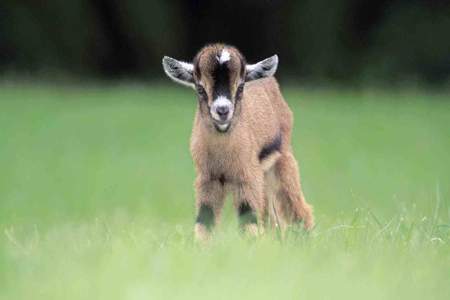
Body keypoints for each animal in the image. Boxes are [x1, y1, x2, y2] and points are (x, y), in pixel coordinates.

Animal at [162, 44, 312, 239]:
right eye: (200, 88)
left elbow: (249, 221)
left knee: (298, 209)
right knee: (270, 218)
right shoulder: (208, 179)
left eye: (240, 87)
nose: (223, 111)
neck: (223, 155)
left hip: (282, 162)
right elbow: (205, 221)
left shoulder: (247, 177)